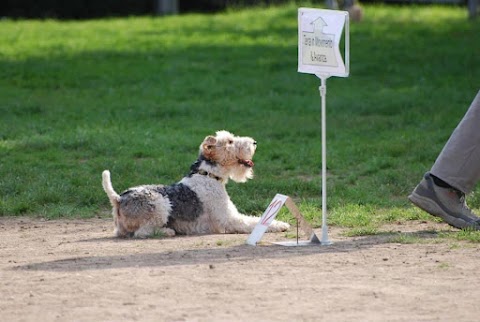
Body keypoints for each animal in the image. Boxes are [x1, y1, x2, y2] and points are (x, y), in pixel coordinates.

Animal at [101, 130, 288, 238]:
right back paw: (168, 231)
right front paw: (282, 225)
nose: (254, 142)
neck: (208, 175)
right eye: (229, 141)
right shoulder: (229, 219)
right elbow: (254, 222)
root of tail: (118, 199)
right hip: (160, 204)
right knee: (142, 232)